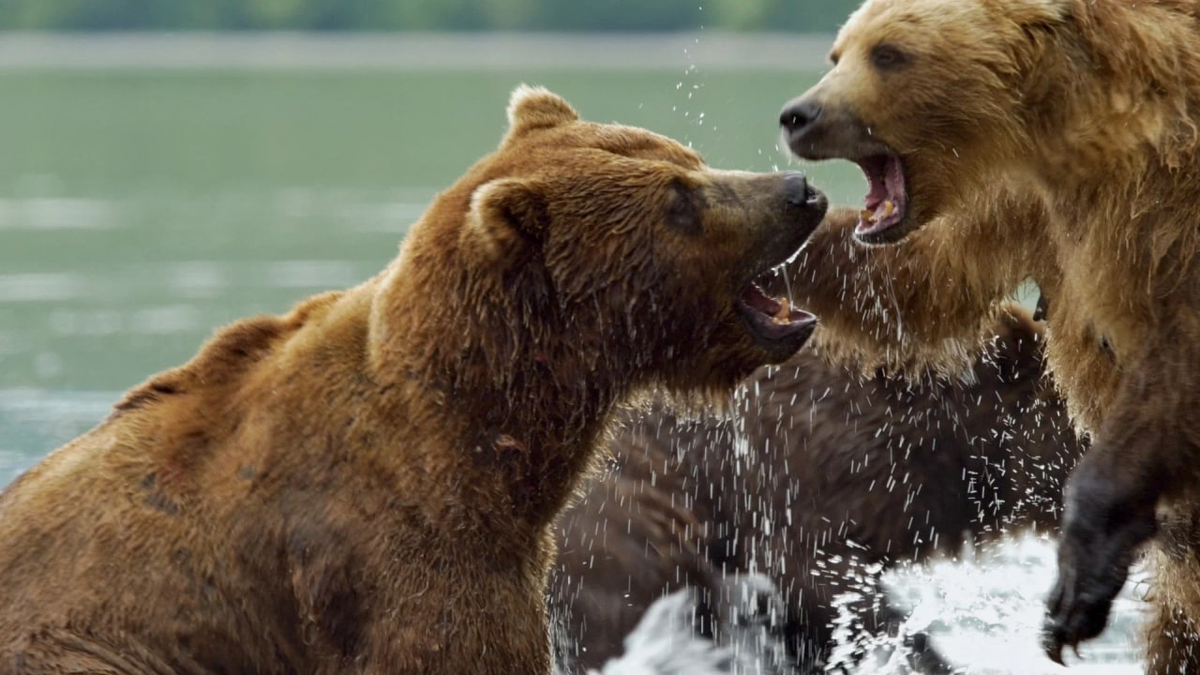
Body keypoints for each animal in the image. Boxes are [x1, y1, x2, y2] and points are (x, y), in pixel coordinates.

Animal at [777, 0, 1200, 662]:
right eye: (838, 53)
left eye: (889, 53)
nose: (799, 115)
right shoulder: (1023, 199)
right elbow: (923, 283)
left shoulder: (1169, 205)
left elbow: (1174, 356)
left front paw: (1075, 587)